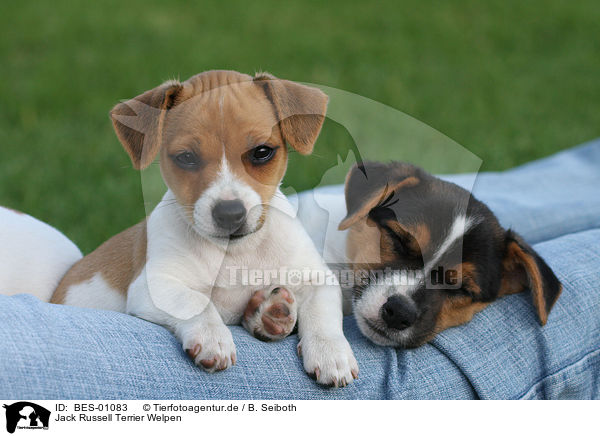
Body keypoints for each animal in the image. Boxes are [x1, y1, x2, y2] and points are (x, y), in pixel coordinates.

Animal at [51, 70, 358, 386]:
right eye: (186, 157)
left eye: (262, 152)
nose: (230, 213)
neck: (235, 251)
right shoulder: (156, 285)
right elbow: (195, 300)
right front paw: (213, 338)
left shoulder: (318, 279)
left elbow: (324, 317)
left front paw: (330, 353)